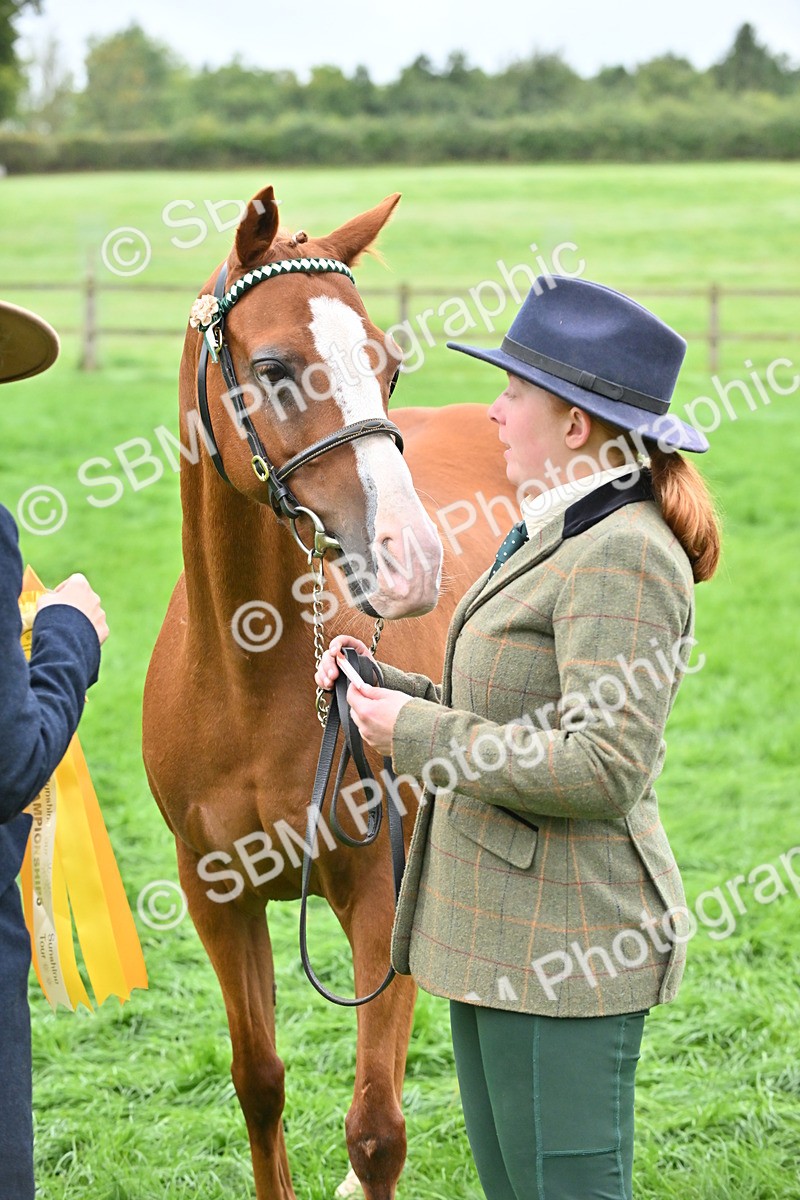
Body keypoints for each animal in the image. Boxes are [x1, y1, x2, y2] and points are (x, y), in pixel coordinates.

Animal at [142, 184, 517, 1200]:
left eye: (386, 364)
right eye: (273, 368)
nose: (412, 558)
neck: (245, 684)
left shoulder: (381, 895)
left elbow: (376, 1129)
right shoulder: (215, 896)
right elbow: (259, 1083)